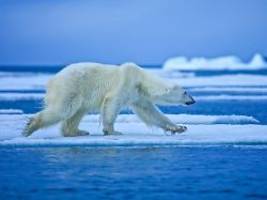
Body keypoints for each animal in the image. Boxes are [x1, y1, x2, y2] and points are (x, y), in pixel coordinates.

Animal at [22, 62, 195, 138]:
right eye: (186, 92)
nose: (193, 101)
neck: (141, 80)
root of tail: (52, 80)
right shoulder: (125, 83)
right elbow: (112, 103)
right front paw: (112, 130)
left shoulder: (138, 96)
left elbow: (151, 113)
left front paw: (179, 127)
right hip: (71, 87)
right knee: (63, 109)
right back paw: (30, 127)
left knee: (77, 112)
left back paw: (78, 131)